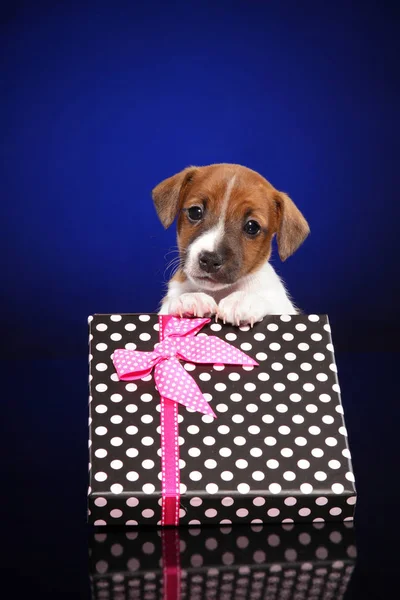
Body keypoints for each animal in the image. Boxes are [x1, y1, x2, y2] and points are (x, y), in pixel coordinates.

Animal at [153, 162, 310, 326]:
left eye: (252, 227)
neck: (220, 291)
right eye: (195, 212)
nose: (210, 260)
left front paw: (243, 300)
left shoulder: (282, 306)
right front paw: (190, 298)